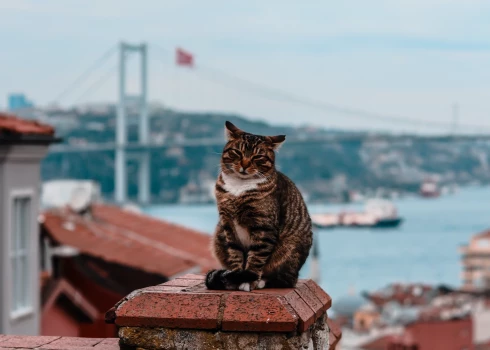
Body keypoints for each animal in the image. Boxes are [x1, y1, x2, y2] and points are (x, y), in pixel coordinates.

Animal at [205, 121, 312, 292]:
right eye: (238, 152)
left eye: (258, 157)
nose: (244, 165)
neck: (238, 187)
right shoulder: (227, 224)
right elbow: (235, 253)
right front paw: (236, 276)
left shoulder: (263, 226)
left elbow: (256, 257)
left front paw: (249, 279)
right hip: (218, 236)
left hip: (289, 251)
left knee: (285, 280)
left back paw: (263, 281)